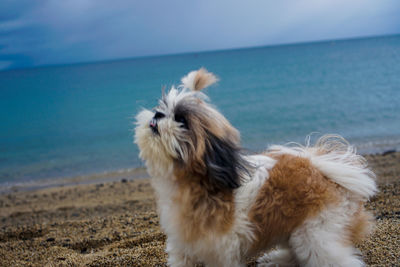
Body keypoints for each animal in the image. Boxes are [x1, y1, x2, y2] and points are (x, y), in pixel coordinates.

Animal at [136, 69, 376, 267]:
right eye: (161, 107)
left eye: (181, 119)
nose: (157, 114)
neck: (196, 184)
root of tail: (323, 170)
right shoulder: (183, 245)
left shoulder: (221, 251)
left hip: (317, 233)